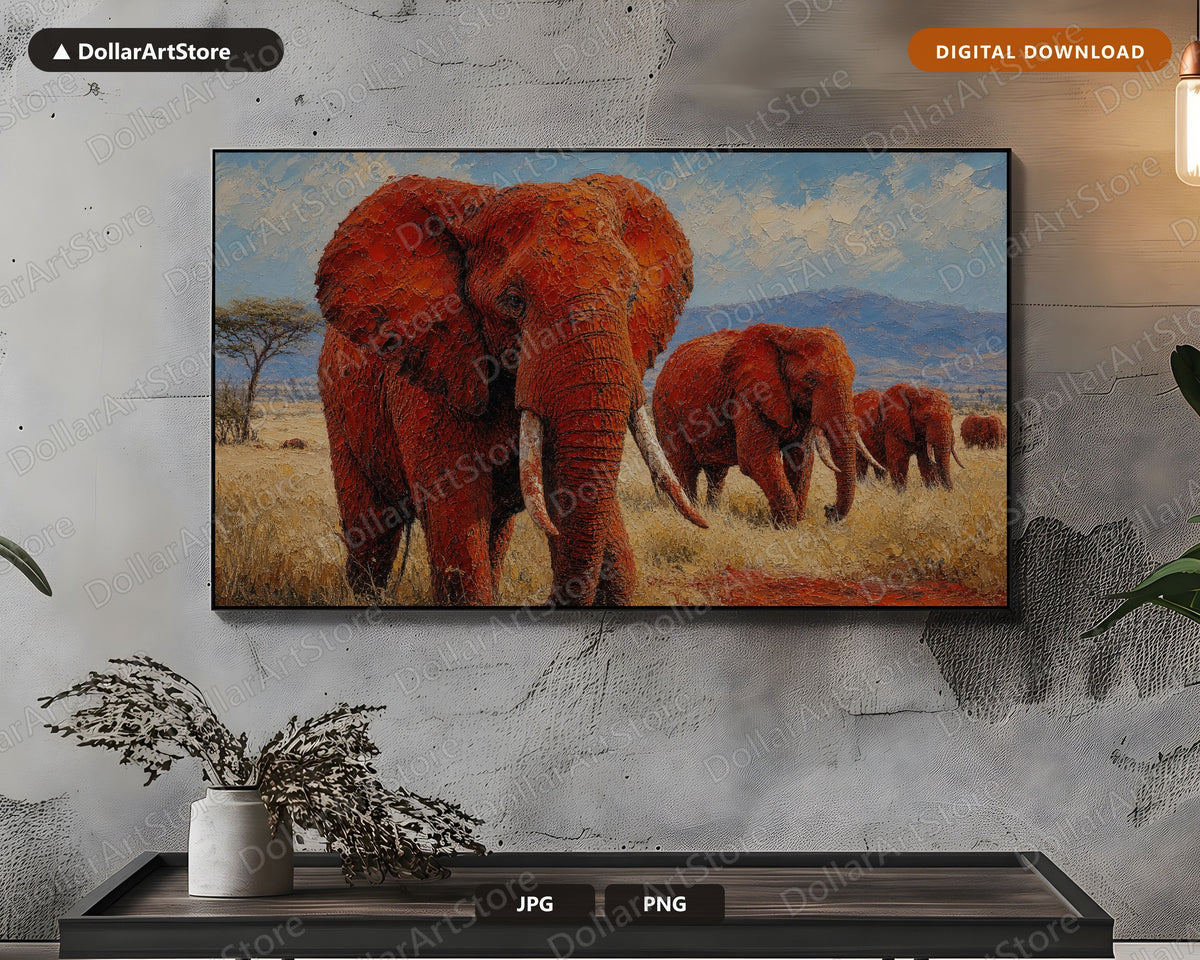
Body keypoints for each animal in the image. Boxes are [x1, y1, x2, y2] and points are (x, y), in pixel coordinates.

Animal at [316, 173, 706, 607]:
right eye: (514, 302)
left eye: (633, 296)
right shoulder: (432, 375)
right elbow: (458, 524)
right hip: (339, 412)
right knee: (373, 533)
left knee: (495, 533)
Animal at [651, 324, 883, 526]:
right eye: (810, 381)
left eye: (853, 377)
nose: (829, 509)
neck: (788, 336)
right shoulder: (747, 396)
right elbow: (756, 458)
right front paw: (785, 526)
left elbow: (801, 457)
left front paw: (794, 522)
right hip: (667, 413)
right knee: (685, 467)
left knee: (716, 473)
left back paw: (712, 511)